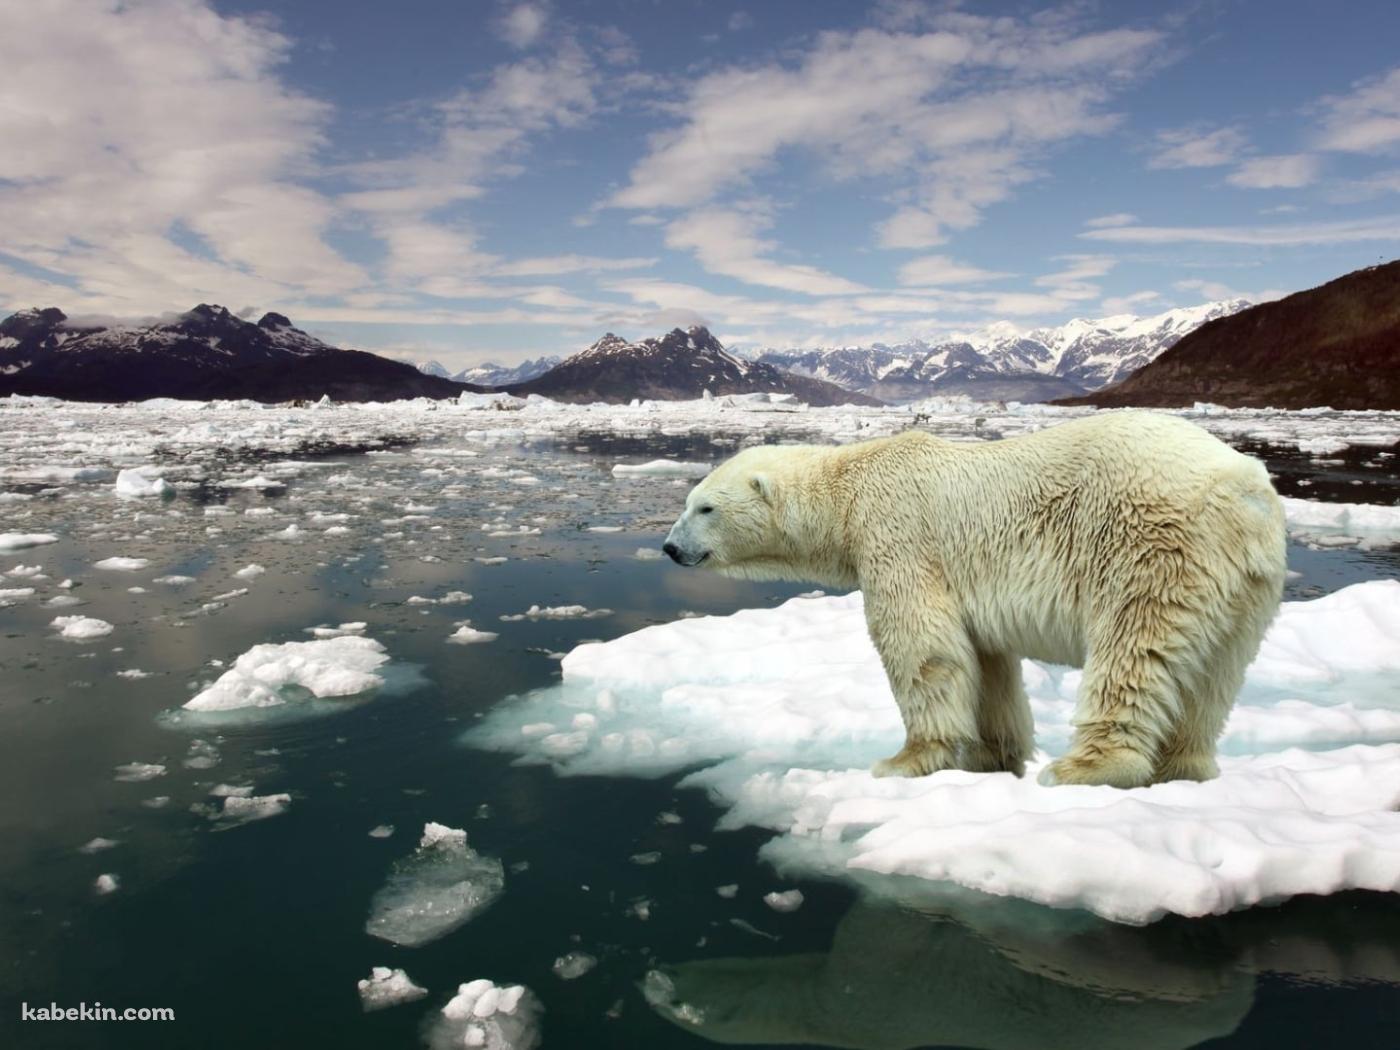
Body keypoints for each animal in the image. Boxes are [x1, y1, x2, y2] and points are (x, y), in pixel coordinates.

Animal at [662, 411, 1286, 788]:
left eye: (704, 508)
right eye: (688, 501)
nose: (670, 548)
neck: (848, 489)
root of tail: (1244, 488)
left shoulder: (898, 535)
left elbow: (922, 647)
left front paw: (904, 761)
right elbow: (987, 664)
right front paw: (994, 757)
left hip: (1151, 544)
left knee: (1133, 648)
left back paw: (1084, 767)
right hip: (1246, 585)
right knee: (1214, 675)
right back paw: (1185, 768)